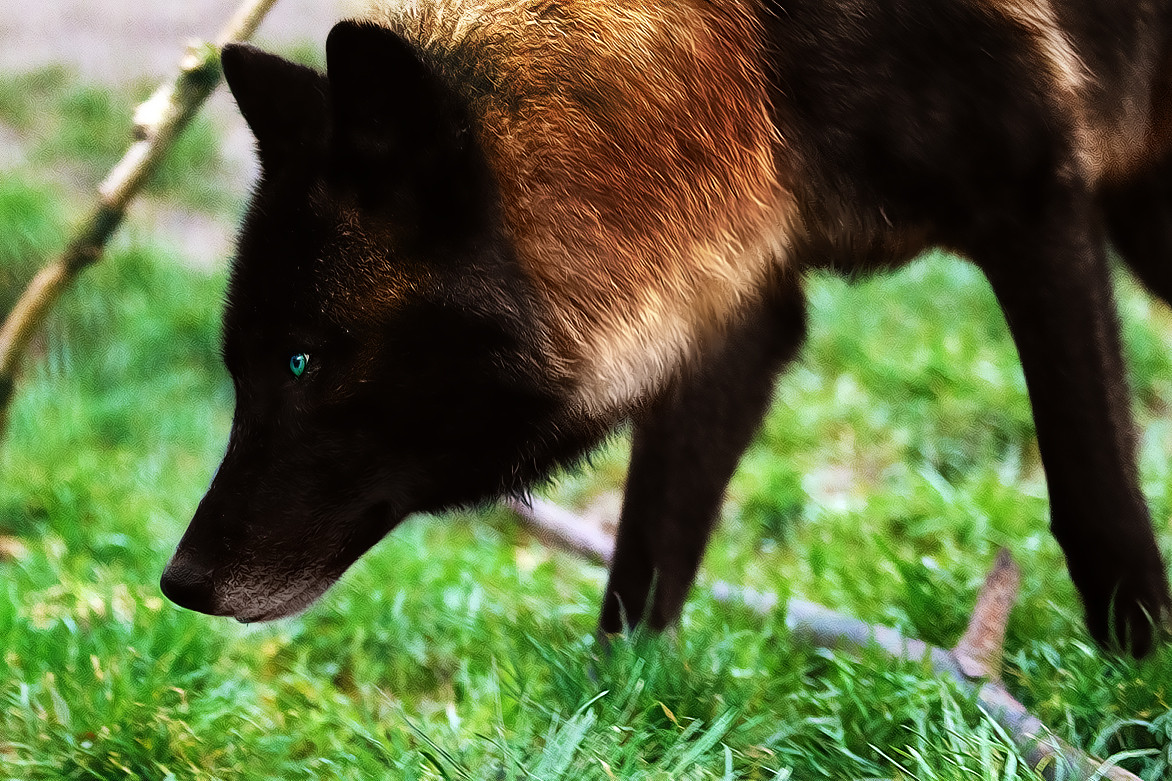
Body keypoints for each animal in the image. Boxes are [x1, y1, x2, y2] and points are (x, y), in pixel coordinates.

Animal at [162, 0, 1172, 656]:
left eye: (301, 362)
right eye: (239, 370)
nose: (179, 582)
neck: (758, 56)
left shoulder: (1038, 202)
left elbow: (1096, 495)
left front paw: (1134, 676)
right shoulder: (732, 315)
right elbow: (646, 570)